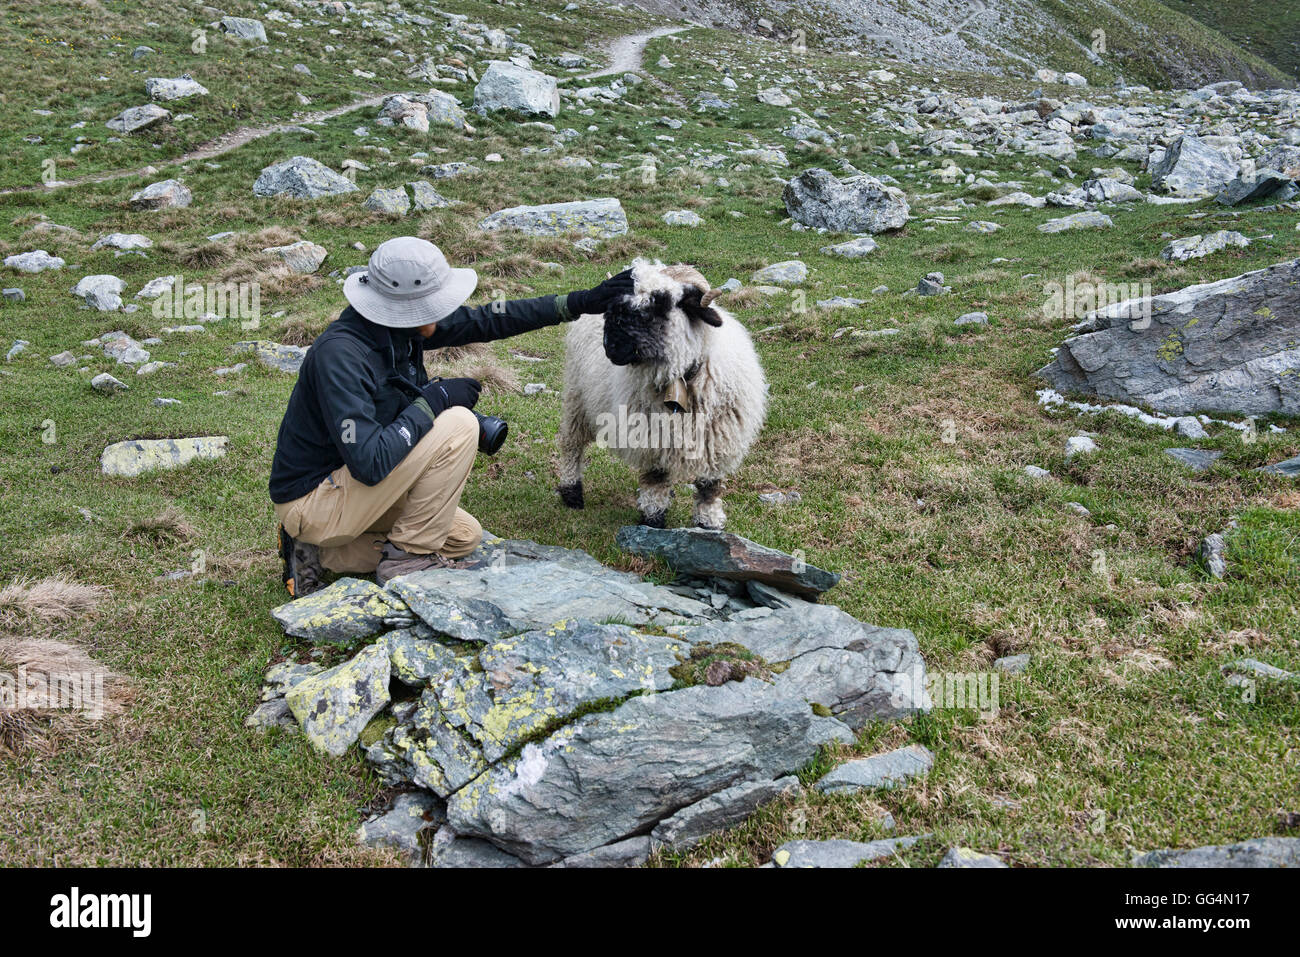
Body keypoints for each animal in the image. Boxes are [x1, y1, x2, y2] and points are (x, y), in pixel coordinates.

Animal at [553, 260, 764, 530]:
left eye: (659, 304)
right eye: (612, 306)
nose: (610, 346)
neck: (680, 377)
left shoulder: (720, 438)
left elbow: (710, 484)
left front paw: (709, 521)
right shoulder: (652, 435)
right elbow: (656, 478)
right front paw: (653, 519)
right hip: (576, 395)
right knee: (572, 443)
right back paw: (571, 491)